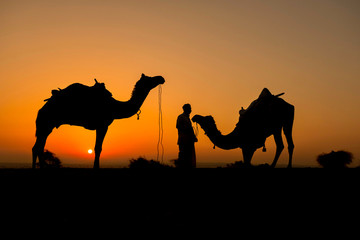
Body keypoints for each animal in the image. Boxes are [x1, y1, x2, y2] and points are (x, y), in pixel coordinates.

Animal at [32, 73, 165, 169]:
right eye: (149, 79)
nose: (161, 78)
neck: (115, 107)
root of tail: (41, 110)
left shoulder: (101, 126)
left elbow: (97, 148)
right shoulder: (103, 125)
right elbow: (98, 148)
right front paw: (96, 168)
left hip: (47, 126)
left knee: (38, 147)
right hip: (46, 123)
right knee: (37, 147)